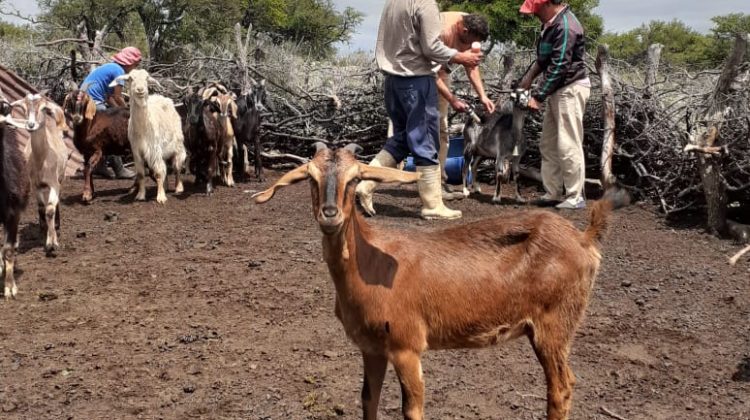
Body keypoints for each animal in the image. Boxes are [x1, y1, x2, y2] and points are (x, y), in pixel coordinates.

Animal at [14, 93, 68, 253]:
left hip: (60, 177)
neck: (41, 159)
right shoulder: (35, 184)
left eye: (44, 108)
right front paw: (44, 231)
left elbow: (50, 209)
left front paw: (52, 243)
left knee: (55, 204)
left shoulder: (54, 183)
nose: (31, 125)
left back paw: (57, 224)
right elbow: (41, 207)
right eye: (24, 108)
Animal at [111, 69, 188, 203]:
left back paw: (178, 188)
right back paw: (166, 186)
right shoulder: (136, 152)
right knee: (165, 167)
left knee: (177, 167)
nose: (140, 89)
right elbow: (141, 175)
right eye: (130, 78)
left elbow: (158, 173)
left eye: (147, 78)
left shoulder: (154, 149)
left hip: (178, 145)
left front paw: (161, 197)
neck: (143, 129)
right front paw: (140, 195)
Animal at [253, 145, 628, 420]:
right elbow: (368, 399)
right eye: (311, 178)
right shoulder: (371, 348)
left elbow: (412, 408)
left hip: (554, 325)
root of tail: (584, 239)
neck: (369, 264)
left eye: (355, 178)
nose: (330, 215)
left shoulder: (406, 346)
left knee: (561, 388)